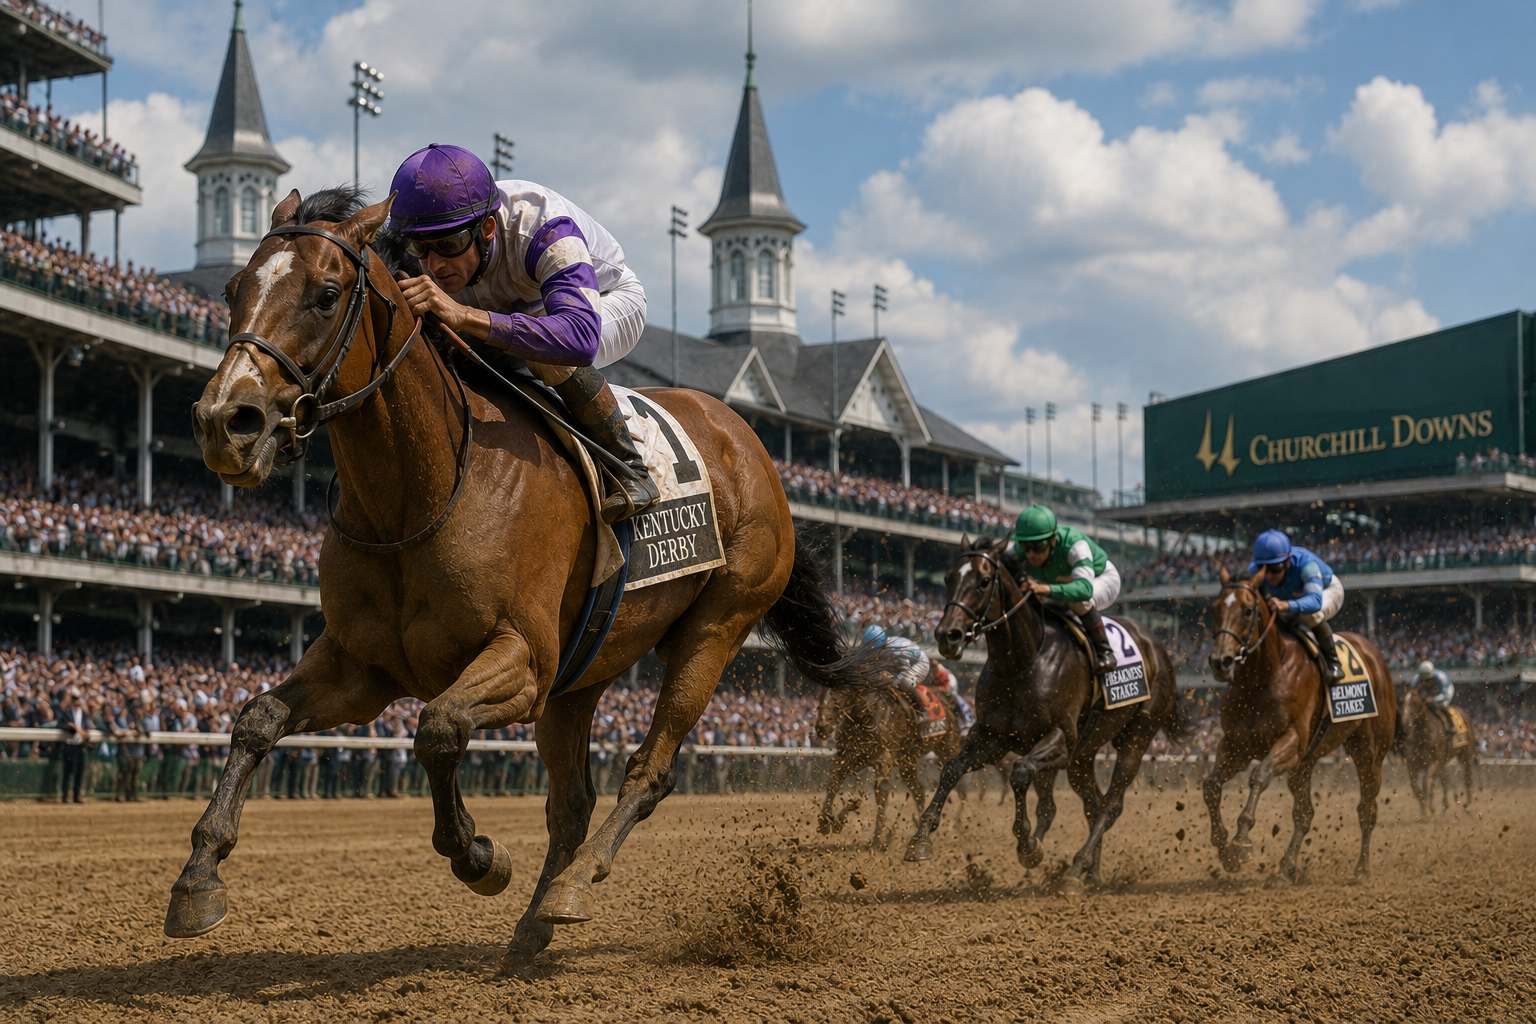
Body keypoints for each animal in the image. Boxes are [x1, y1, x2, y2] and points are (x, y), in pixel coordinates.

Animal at [171, 187, 893, 965]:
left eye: (326, 295)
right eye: (232, 289)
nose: (226, 421)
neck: (419, 494)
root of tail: (748, 440)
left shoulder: (523, 659)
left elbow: (438, 728)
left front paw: (480, 856)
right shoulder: (364, 667)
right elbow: (258, 719)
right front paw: (197, 879)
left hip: (715, 629)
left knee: (650, 767)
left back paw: (573, 887)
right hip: (582, 676)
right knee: (571, 801)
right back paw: (535, 923)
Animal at [814, 671, 966, 847]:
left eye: (838, 695)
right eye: (819, 694)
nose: (821, 727)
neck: (867, 715)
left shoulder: (882, 760)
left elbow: (881, 792)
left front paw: (877, 837)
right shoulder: (853, 756)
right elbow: (835, 779)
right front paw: (826, 821)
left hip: (947, 747)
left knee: (958, 780)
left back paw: (958, 820)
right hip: (908, 761)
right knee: (919, 791)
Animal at [906, 537, 1185, 893]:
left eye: (984, 581)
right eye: (948, 578)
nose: (947, 635)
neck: (1023, 662)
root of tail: (1159, 648)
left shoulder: (1060, 740)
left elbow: (1021, 773)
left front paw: (1028, 845)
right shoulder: (992, 737)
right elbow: (953, 769)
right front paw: (920, 838)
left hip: (1137, 738)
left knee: (1109, 805)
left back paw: (1076, 870)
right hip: (1083, 757)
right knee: (1093, 805)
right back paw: (1091, 875)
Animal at [1205, 568, 1396, 883]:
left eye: (1247, 611)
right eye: (1214, 608)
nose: (1221, 661)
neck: (1263, 678)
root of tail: (1373, 653)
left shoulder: (1292, 741)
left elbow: (1259, 775)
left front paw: (1241, 840)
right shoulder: (1236, 745)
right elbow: (1210, 785)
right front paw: (1224, 849)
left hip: (1369, 752)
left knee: (1367, 809)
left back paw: (1361, 869)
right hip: (1305, 764)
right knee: (1304, 815)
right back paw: (1285, 868)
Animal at [1400, 684, 1476, 818]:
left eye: (1414, 702)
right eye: (1402, 700)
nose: (1404, 721)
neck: (1423, 734)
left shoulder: (1434, 762)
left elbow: (1426, 783)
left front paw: (1429, 810)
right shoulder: (1412, 764)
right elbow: (1416, 787)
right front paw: (1425, 811)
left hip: (1466, 754)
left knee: (1467, 777)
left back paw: (1467, 805)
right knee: (1445, 779)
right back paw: (1445, 807)